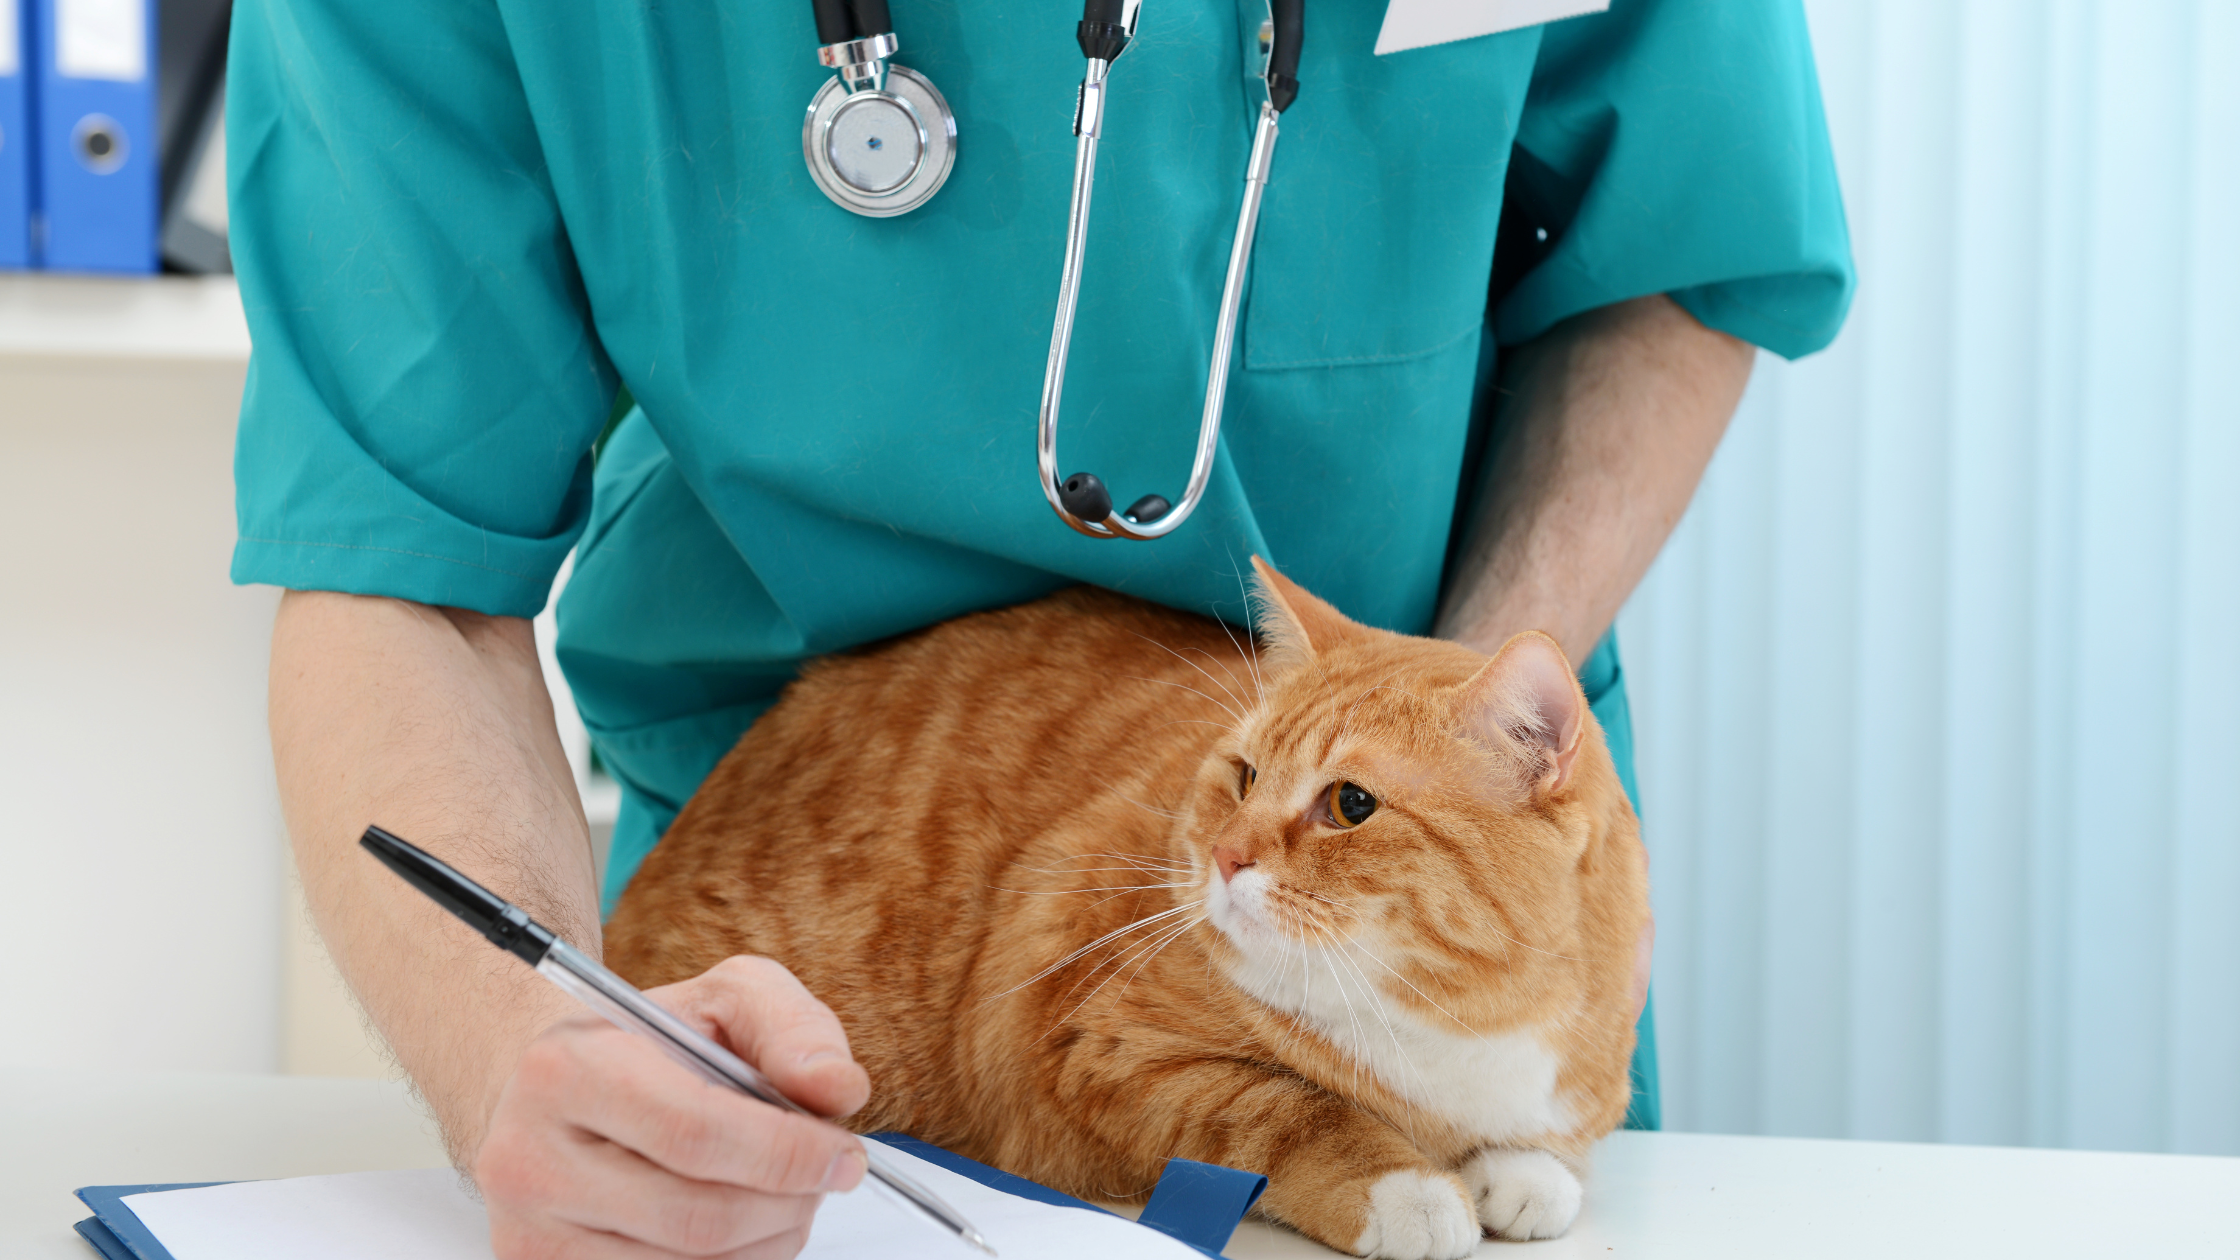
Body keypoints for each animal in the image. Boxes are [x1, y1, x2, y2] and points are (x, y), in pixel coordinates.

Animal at [609, 558, 1648, 1255]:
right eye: (1245, 775)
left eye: (1351, 805)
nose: (1226, 856)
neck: (1448, 1033)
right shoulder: (1087, 1050)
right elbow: (1287, 1106)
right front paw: (1408, 1190)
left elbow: (1551, 1152)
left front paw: (1524, 1171)